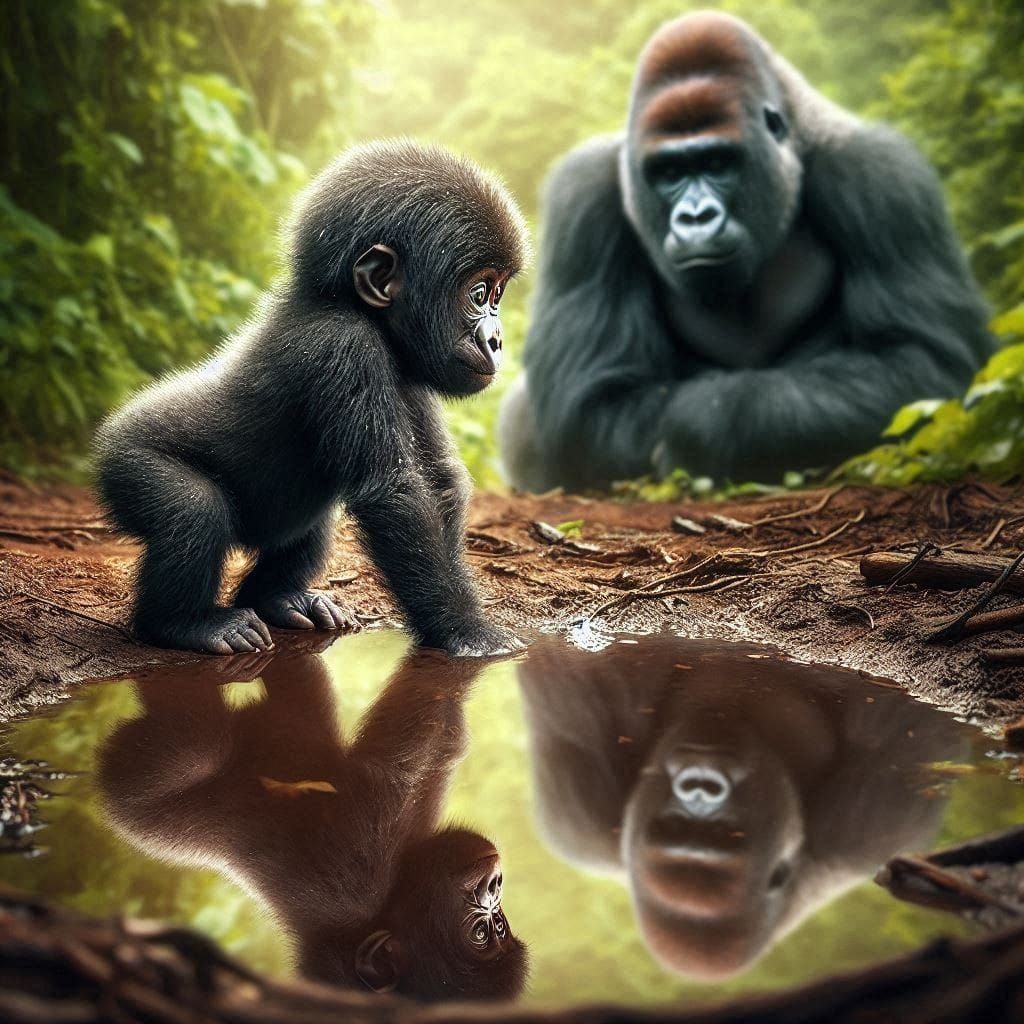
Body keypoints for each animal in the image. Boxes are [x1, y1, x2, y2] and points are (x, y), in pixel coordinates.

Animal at [94, 140, 529, 657]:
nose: (497, 341)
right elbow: (395, 491)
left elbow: (440, 481)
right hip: (125, 460)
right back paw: (183, 623)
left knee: (311, 523)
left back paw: (278, 598)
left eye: (499, 294)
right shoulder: (342, 345)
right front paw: (468, 631)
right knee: (191, 507)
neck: (337, 299)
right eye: (480, 294)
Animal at [499, 11, 991, 492]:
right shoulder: (583, 194)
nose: (696, 217)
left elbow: (922, 363)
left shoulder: (884, 179)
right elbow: (592, 397)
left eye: (718, 163)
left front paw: (707, 421)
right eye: (669, 172)